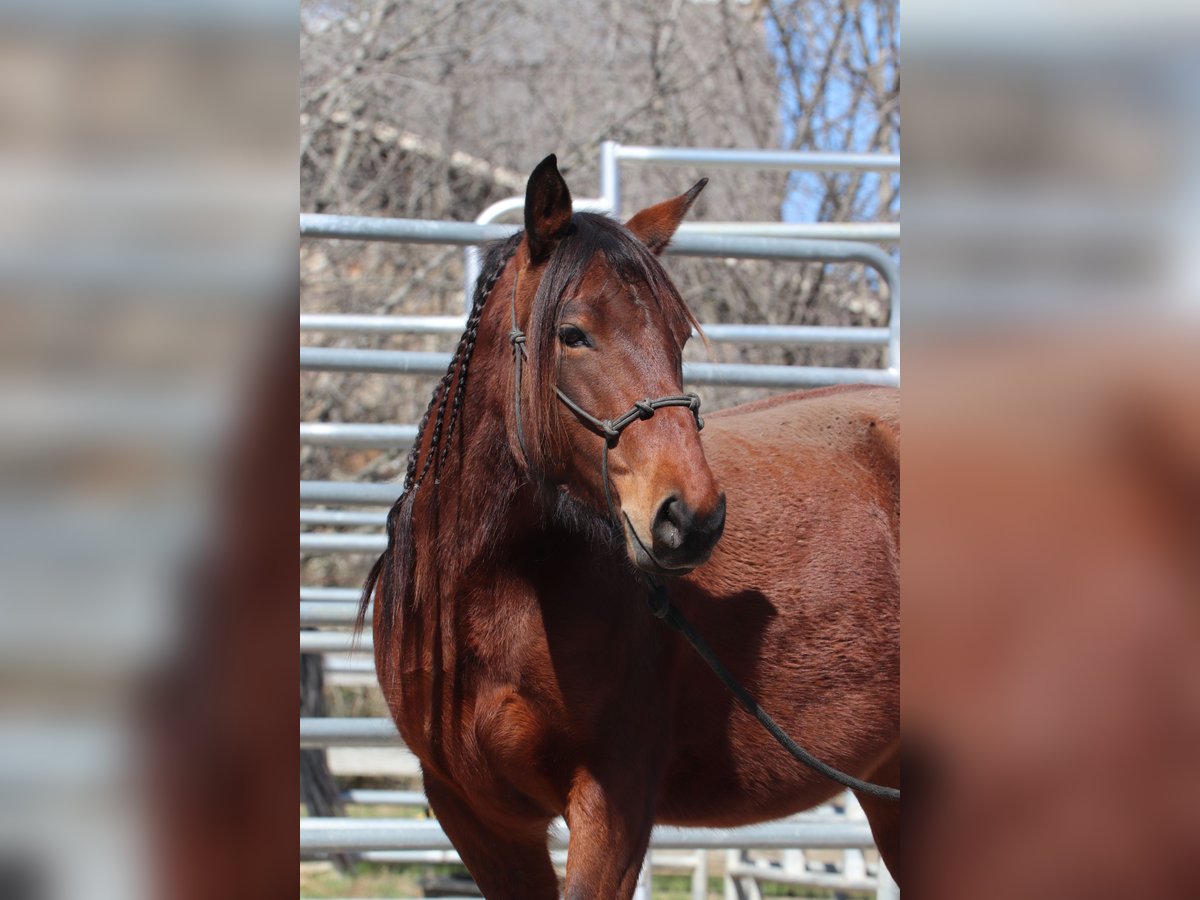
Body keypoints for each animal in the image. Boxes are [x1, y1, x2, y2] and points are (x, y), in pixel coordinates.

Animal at [364, 157, 902, 900]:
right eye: (573, 334)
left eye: (678, 338)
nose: (692, 518)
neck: (491, 596)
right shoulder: (476, 815)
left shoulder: (611, 805)